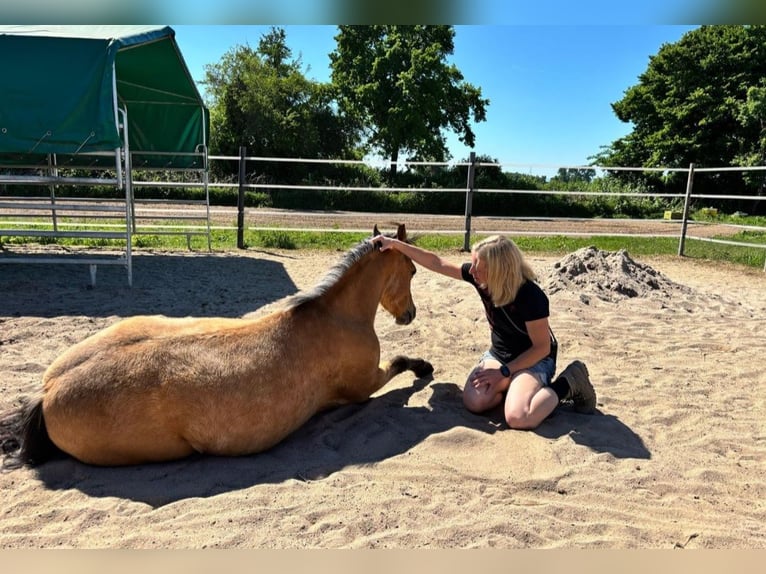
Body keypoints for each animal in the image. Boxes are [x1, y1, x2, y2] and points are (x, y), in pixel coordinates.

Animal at [0, 224, 433, 467]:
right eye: (412, 269)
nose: (409, 315)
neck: (333, 317)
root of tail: (48, 392)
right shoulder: (364, 386)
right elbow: (399, 362)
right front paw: (425, 368)